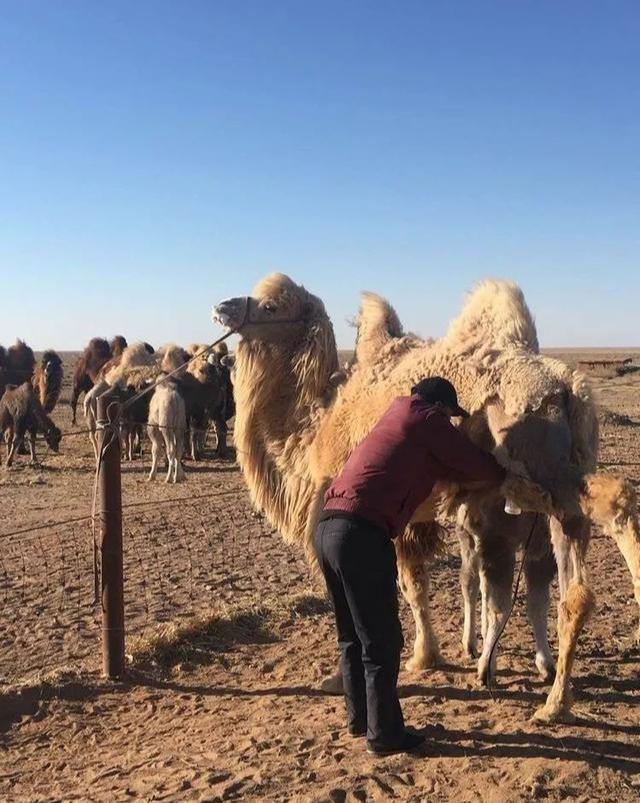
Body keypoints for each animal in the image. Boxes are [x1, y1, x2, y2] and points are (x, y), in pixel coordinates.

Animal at [214, 272, 640, 724]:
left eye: (270, 307)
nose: (222, 307)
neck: (316, 427)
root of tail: (570, 390)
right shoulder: (411, 520)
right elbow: (418, 583)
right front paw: (433, 654)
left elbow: (393, 592)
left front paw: (403, 662)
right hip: (561, 479)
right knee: (576, 570)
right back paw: (557, 697)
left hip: (539, 474)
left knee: (611, 502)